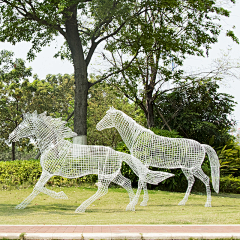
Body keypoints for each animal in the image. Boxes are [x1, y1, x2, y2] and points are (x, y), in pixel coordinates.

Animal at [7, 110, 172, 212]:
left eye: (21, 126)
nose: (10, 137)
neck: (52, 146)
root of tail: (118, 153)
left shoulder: (48, 171)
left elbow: (37, 188)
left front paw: (60, 195)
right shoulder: (48, 172)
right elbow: (38, 187)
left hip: (106, 174)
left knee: (103, 190)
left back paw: (81, 208)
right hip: (112, 174)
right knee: (126, 182)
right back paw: (131, 206)